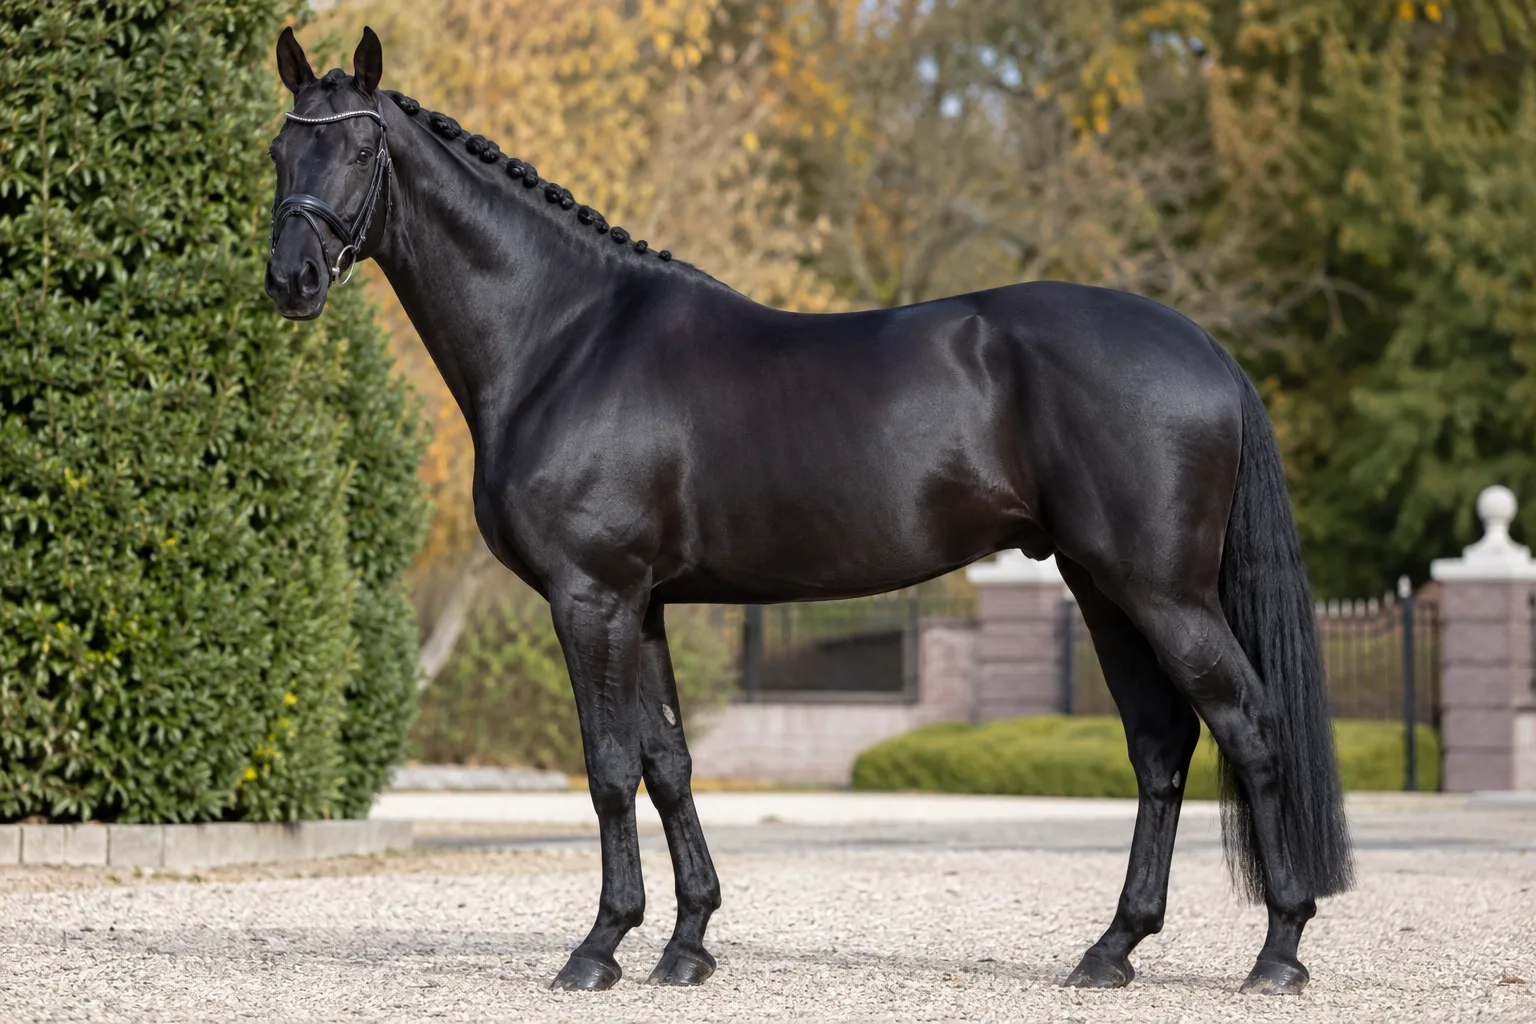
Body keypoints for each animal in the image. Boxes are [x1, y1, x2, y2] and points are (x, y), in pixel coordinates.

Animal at [264, 27, 1353, 996]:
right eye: (279, 149)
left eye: (360, 148)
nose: (290, 280)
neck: (566, 337)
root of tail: (1204, 348)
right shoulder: (643, 604)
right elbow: (669, 762)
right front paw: (686, 945)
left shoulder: (590, 597)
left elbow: (610, 766)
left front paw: (599, 947)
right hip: (1104, 588)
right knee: (1161, 745)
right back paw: (1112, 950)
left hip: (1161, 590)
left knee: (1250, 726)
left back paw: (1279, 952)